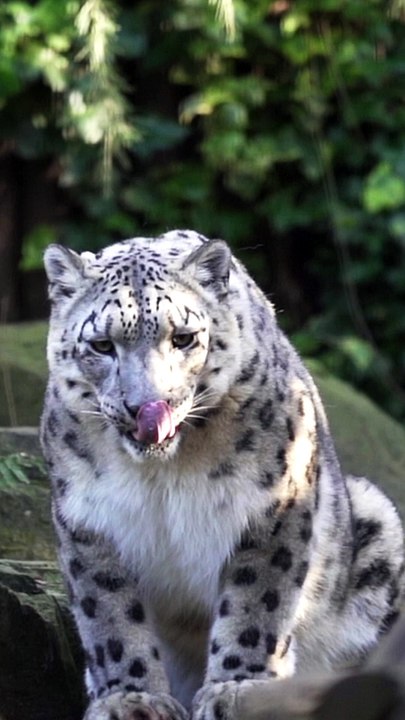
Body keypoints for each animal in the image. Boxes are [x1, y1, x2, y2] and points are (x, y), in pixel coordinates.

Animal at [40, 229, 404, 720]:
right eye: (101, 345)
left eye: (183, 337)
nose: (146, 407)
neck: (163, 472)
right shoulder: (90, 519)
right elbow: (111, 616)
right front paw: (130, 698)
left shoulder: (272, 504)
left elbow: (257, 601)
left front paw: (237, 687)